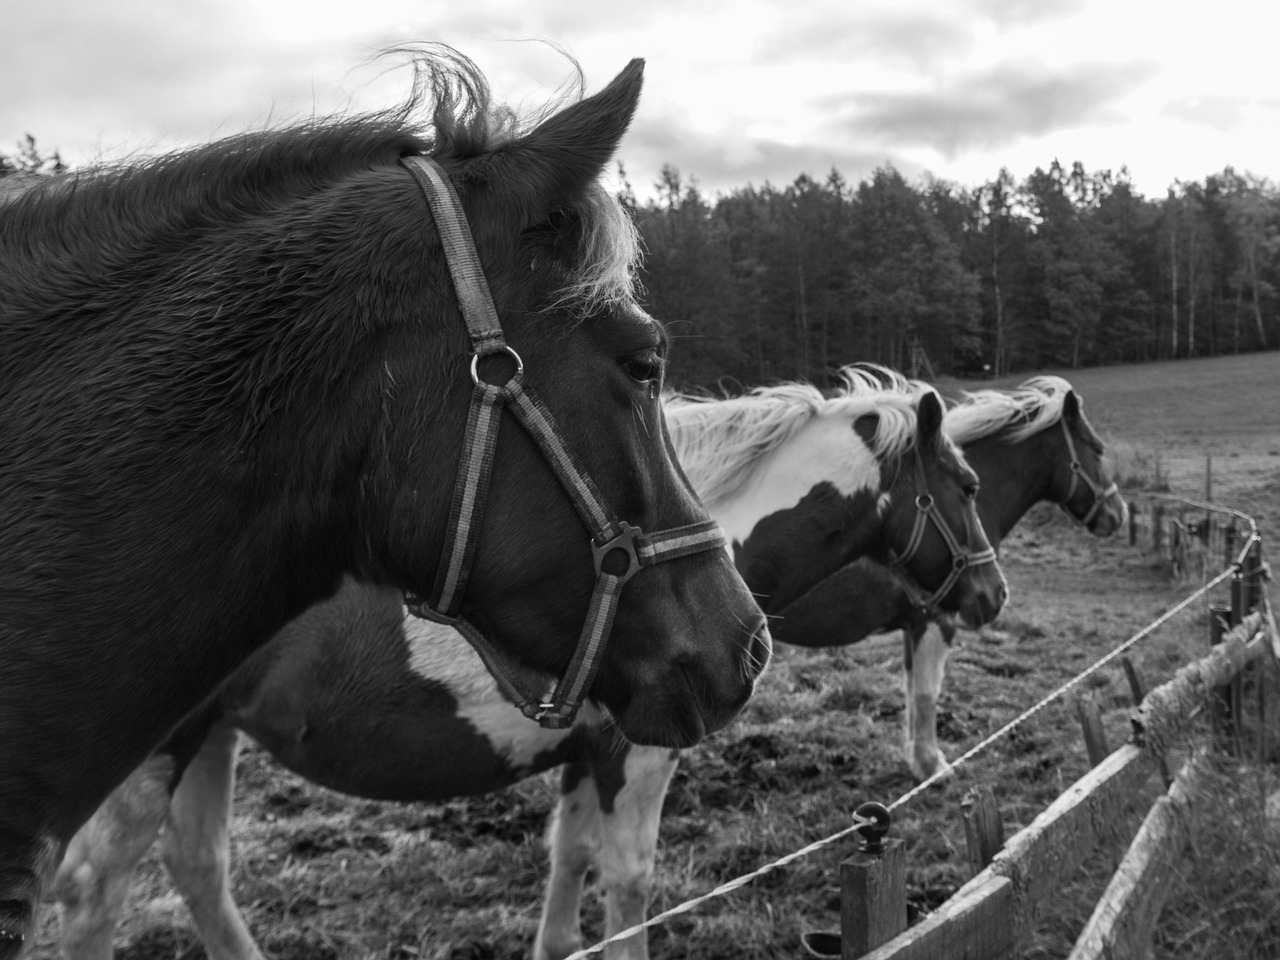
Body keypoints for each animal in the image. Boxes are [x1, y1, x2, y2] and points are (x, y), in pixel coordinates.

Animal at [52, 368, 1008, 960]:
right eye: (965, 486)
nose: (989, 595)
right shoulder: (640, 758)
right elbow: (628, 882)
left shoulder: (586, 753)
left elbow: (569, 857)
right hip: (158, 755)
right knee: (95, 892)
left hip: (213, 736)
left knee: (198, 870)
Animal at [773, 376, 1126, 783]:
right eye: (1097, 450)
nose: (1119, 513)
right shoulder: (935, 621)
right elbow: (927, 693)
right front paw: (932, 766)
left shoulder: (915, 626)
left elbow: (913, 690)